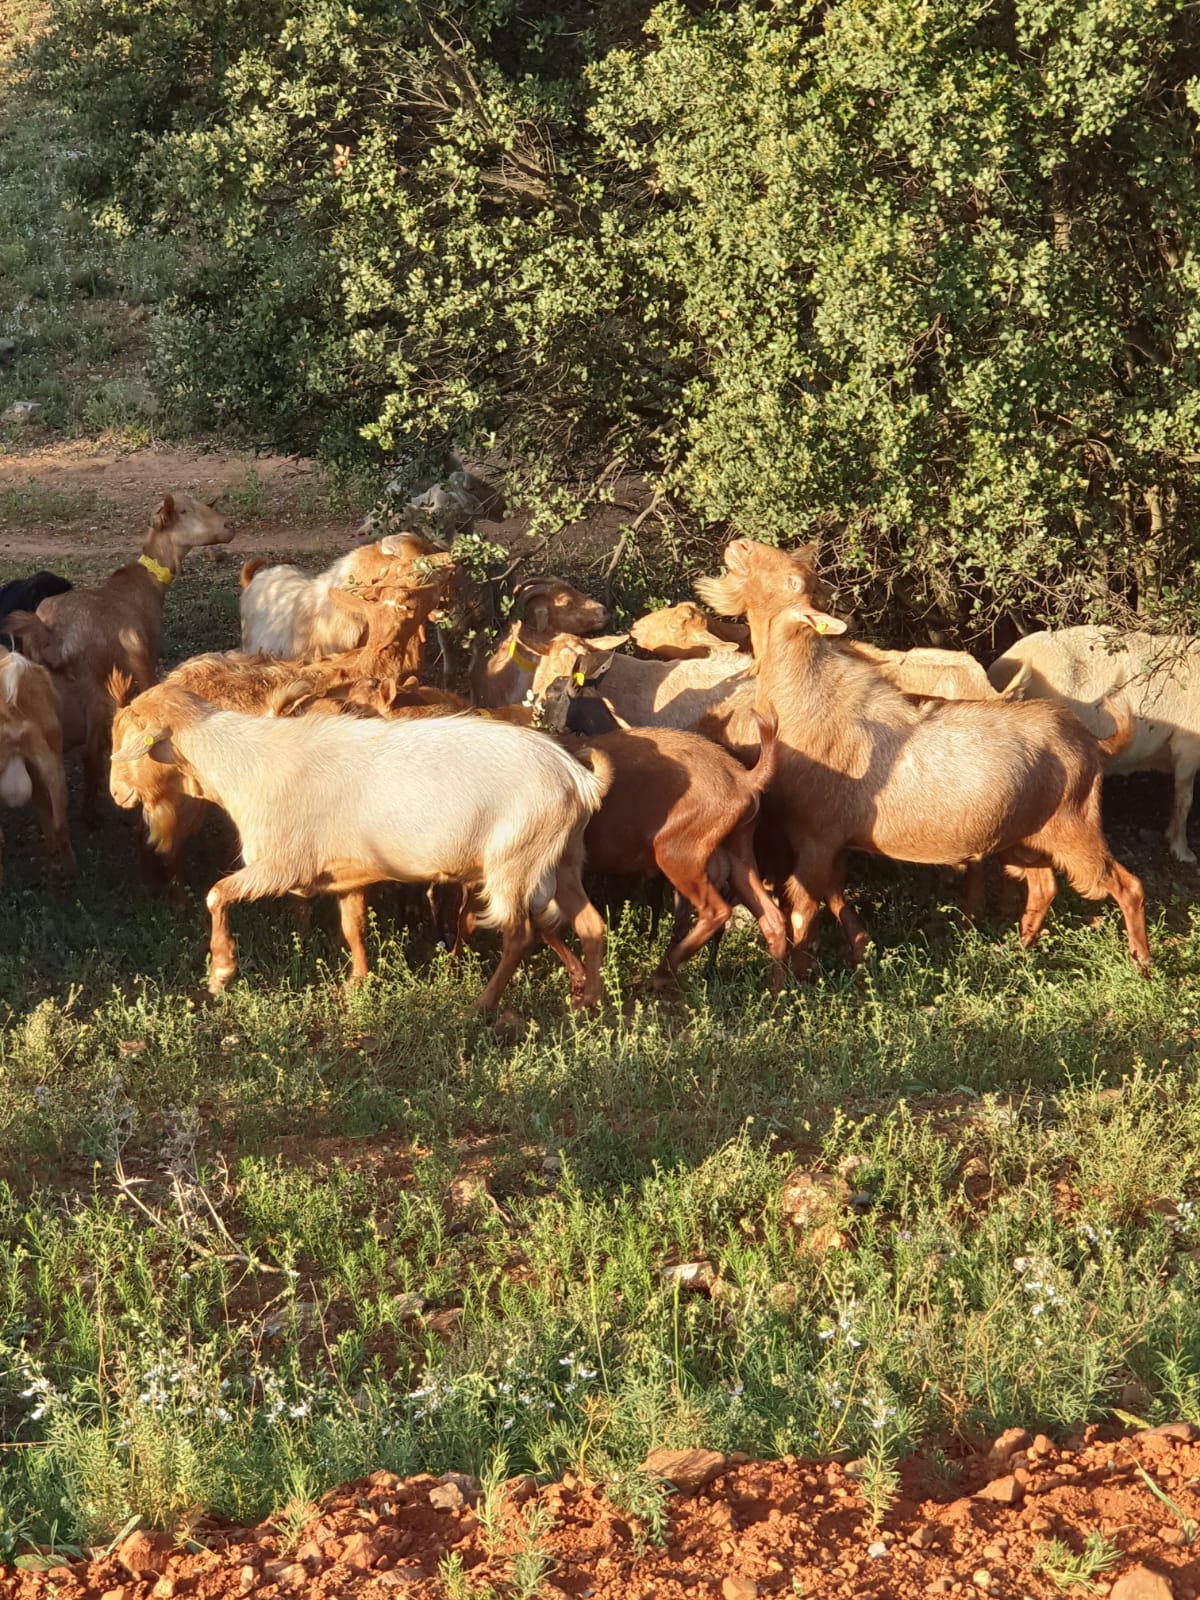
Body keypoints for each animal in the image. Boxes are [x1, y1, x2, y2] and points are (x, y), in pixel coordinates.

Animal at [3, 494, 232, 814]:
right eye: (185, 511)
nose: (227, 526)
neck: (143, 585)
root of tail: (53, 636)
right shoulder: (144, 660)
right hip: (92, 692)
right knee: (90, 754)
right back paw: (93, 811)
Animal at [109, 688, 607, 1008]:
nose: (116, 794)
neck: (244, 763)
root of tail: (577, 778)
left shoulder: (281, 864)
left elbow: (216, 895)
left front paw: (221, 972)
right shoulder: (347, 873)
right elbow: (353, 929)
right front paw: (357, 983)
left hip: (515, 862)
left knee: (519, 935)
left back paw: (482, 1006)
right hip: (563, 858)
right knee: (591, 926)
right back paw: (589, 1003)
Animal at [695, 539, 1150, 973]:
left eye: (792, 581)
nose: (741, 545)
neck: (806, 699)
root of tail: (1091, 741)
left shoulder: (817, 835)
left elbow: (804, 907)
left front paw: (802, 976)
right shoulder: (828, 841)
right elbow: (832, 894)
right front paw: (857, 952)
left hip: (1075, 828)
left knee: (1127, 886)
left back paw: (1141, 964)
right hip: (1025, 836)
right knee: (1043, 886)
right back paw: (1020, 949)